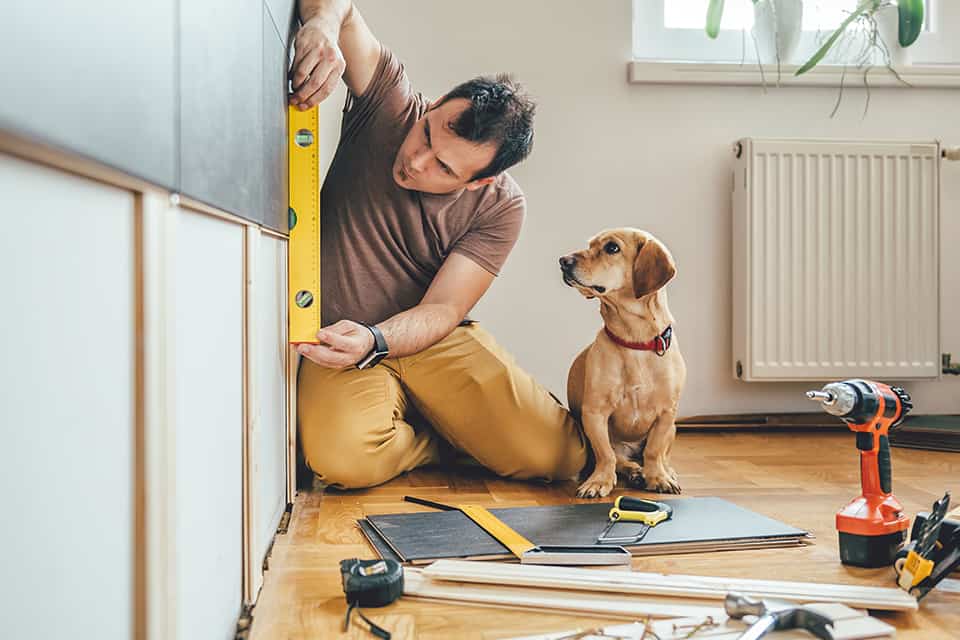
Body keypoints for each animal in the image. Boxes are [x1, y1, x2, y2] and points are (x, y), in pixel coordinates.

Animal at [560, 228, 688, 498]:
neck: (635, 342)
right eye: (590, 245)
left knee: (660, 455)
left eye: (612, 248)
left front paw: (658, 477)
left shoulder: (666, 414)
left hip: (673, 429)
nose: (563, 261)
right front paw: (599, 481)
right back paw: (635, 471)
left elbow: (654, 450)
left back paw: (662, 472)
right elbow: (606, 455)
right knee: (621, 460)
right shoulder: (595, 413)